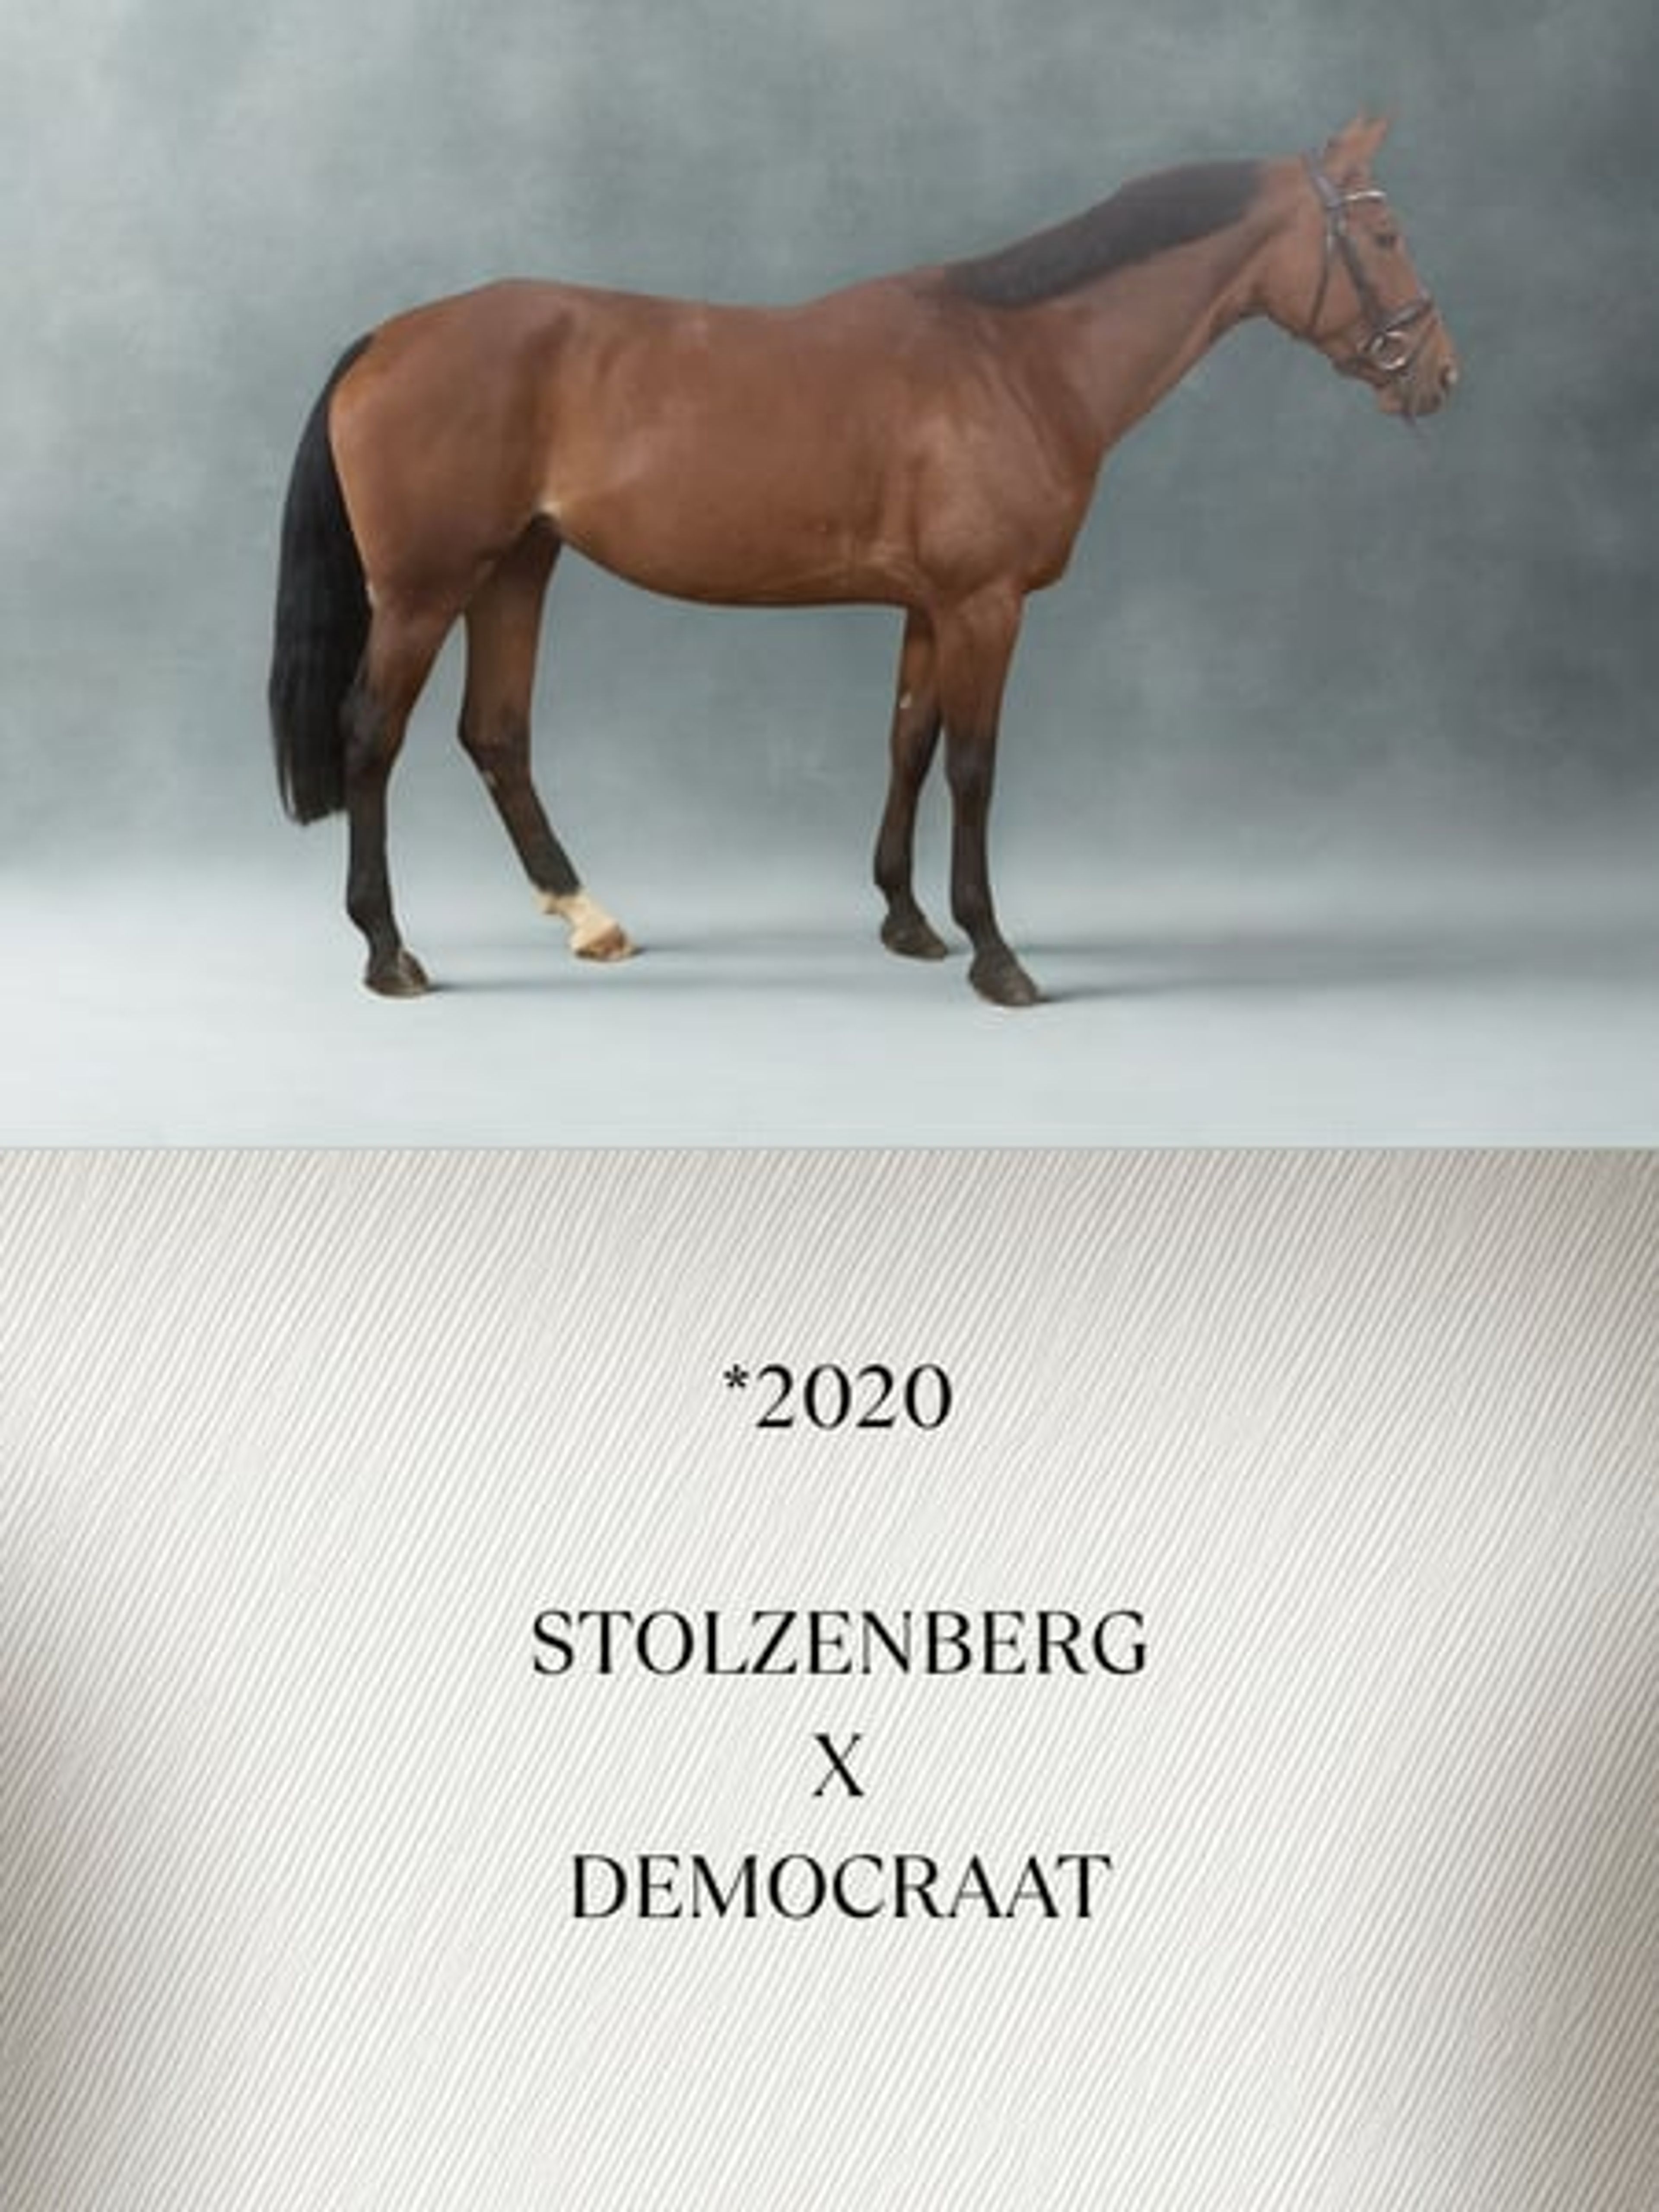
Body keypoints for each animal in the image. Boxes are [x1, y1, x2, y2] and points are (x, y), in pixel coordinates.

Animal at [268, 113, 1456, 1007]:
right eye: (1386, 232)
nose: (1438, 371)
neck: (1016, 359)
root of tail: (386, 339)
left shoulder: (931, 610)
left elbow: (908, 746)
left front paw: (907, 921)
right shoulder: (986, 608)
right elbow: (974, 768)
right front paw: (995, 954)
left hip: (518, 568)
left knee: (496, 735)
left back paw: (588, 917)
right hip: (425, 591)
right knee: (373, 737)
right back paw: (389, 951)